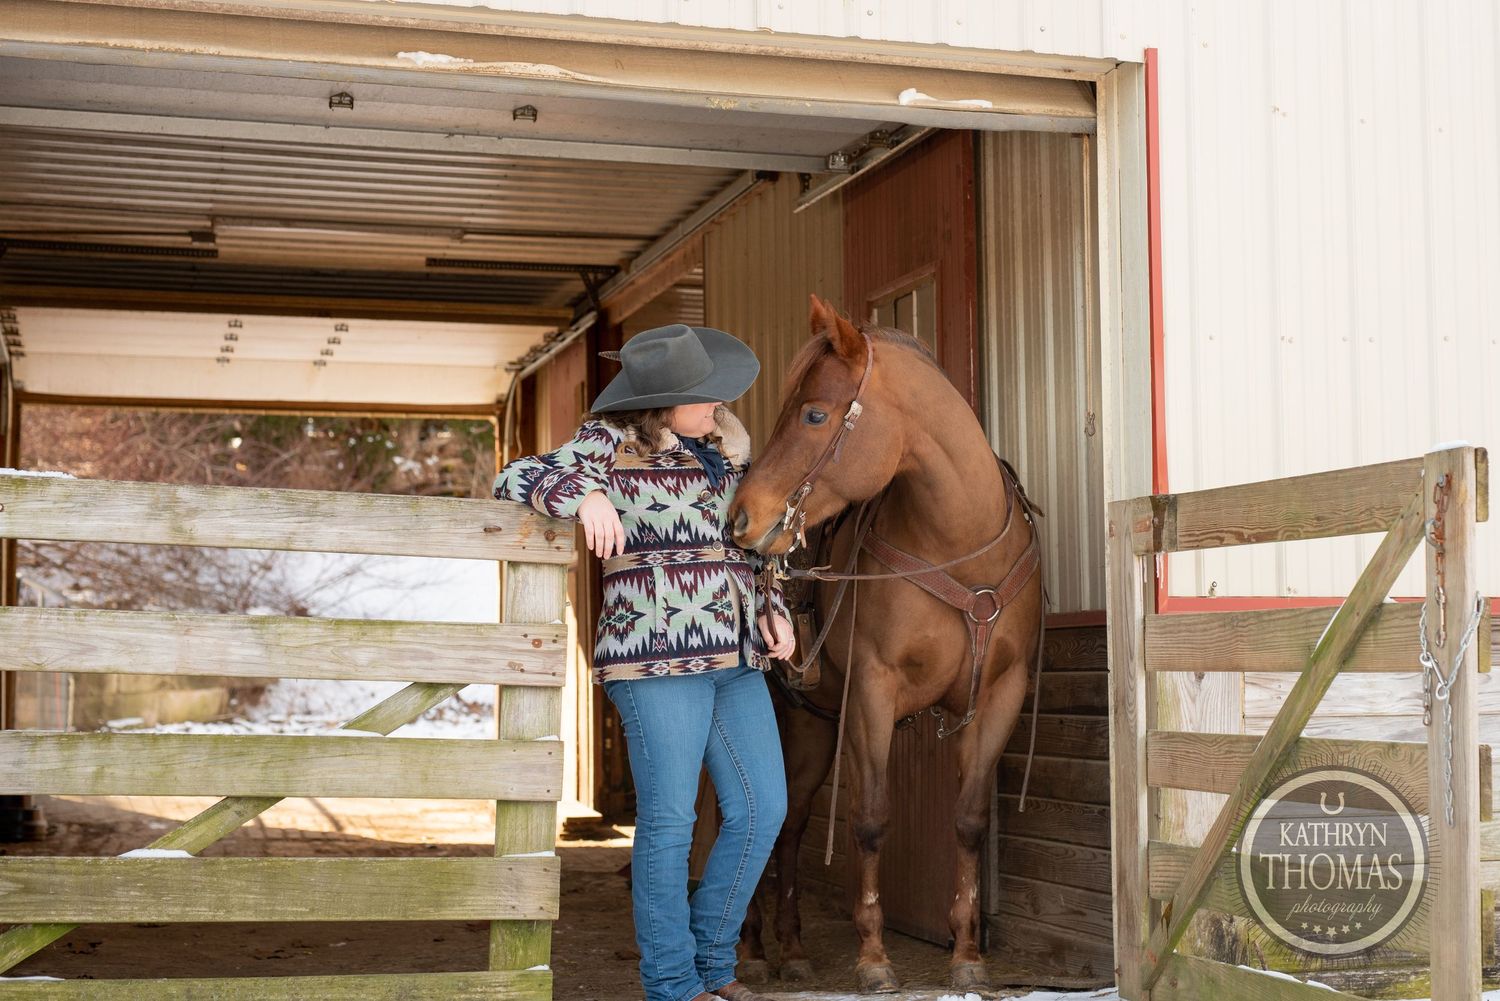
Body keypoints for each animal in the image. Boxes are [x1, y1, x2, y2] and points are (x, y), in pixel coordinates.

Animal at [727, 295, 1045, 994]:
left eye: (815, 414)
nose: (740, 518)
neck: (961, 549)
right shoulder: (873, 692)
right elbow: (871, 820)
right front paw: (874, 957)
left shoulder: (999, 696)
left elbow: (969, 821)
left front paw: (967, 956)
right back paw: (752, 949)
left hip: (813, 728)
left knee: (789, 824)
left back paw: (792, 949)